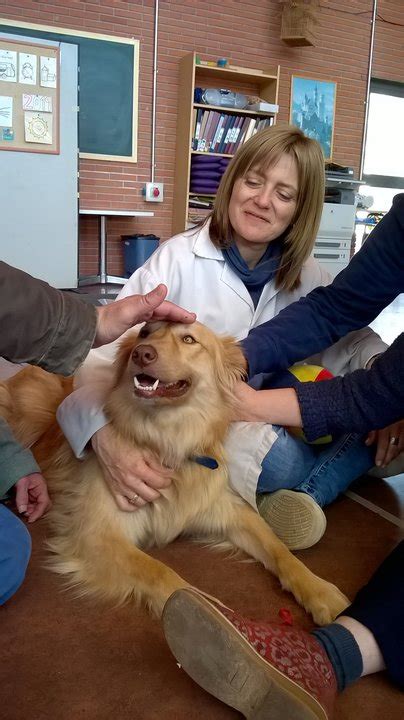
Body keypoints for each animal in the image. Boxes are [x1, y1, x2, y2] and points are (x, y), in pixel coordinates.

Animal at [3, 320, 348, 624]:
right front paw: (212, 619)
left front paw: (320, 591)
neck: (166, 438)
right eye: (144, 332)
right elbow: (163, 575)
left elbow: (278, 548)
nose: (142, 353)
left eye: (189, 340)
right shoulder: (97, 534)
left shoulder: (226, 510)